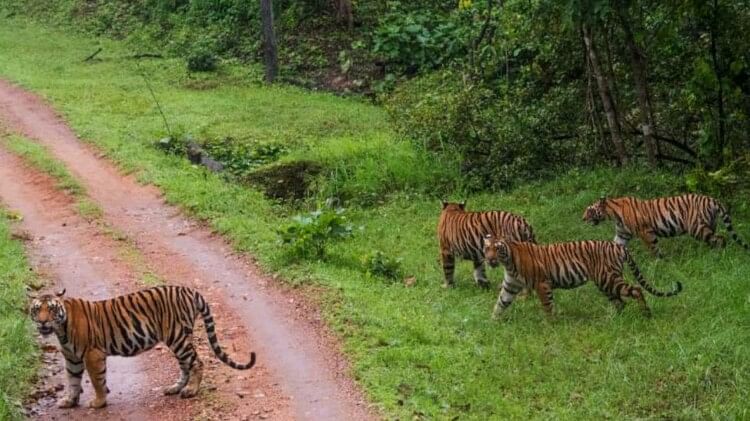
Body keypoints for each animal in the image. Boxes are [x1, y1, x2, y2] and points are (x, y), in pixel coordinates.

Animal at [29, 284, 258, 408]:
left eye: (51, 309)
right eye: (37, 309)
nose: (43, 322)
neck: (61, 329)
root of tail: (189, 290)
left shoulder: (92, 354)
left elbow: (96, 380)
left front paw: (99, 402)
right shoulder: (72, 357)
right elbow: (73, 380)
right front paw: (69, 401)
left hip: (177, 337)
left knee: (197, 363)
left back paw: (191, 390)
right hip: (179, 340)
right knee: (185, 365)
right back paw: (175, 388)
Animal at [484, 238, 684, 316]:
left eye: (497, 249)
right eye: (487, 248)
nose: (490, 259)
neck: (508, 263)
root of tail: (619, 246)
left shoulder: (542, 284)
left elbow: (548, 306)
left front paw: (551, 323)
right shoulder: (510, 285)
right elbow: (501, 303)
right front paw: (493, 322)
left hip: (608, 278)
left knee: (635, 289)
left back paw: (646, 313)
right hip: (605, 282)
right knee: (620, 301)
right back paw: (614, 318)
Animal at [584, 193, 748, 256]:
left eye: (590, 210)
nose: (583, 218)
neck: (614, 214)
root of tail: (712, 199)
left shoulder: (646, 232)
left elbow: (653, 248)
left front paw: (660, 261)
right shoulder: (622, 234)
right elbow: (615, 245)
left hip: (697, 228)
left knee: (720, 239)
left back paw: (719, 255)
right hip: (709, 225)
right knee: (714, 239)